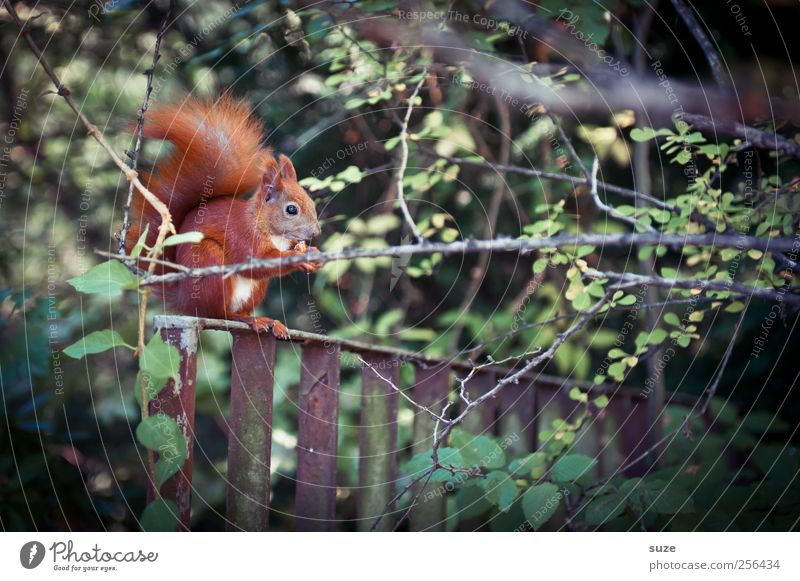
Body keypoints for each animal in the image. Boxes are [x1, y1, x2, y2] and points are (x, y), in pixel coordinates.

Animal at [126, 97, 320, 338]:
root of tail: (184, 301)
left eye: (312, 203)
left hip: (255, 289)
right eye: (291, 210)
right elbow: (258, 262)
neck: (268, 227)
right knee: (219, 314)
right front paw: (301, 257)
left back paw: (266, 321)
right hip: (209, 263)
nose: (316, 232)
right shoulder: (243, 236)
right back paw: (245, 319)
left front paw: (312, 253)